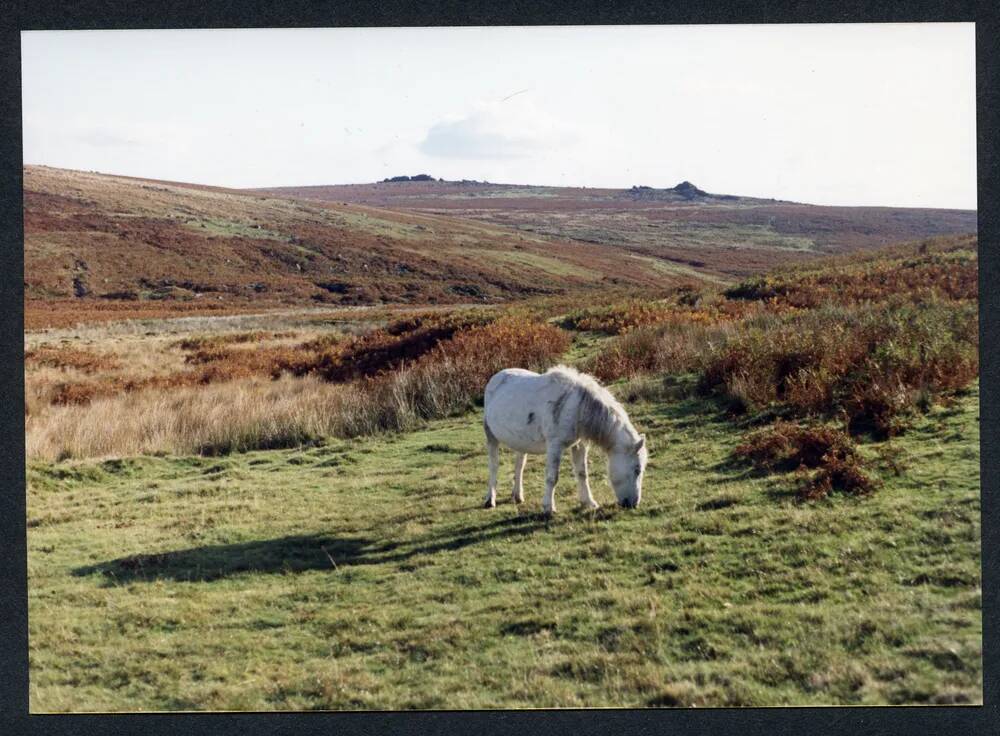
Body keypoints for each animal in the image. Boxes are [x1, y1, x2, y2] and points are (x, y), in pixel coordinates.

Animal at [482, 366, 648, 516]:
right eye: (637, 469)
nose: (633, 504)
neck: (578, 407)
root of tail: (496, 376)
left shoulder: (580, 445)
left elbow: (582, 474)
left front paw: (589, 502)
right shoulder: (555, 445)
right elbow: (552, 478)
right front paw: (548, 508)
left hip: (521, 443)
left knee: (519, 466)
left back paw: (517, 496)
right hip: (491, 436)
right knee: (493, 466)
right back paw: (490, 499)